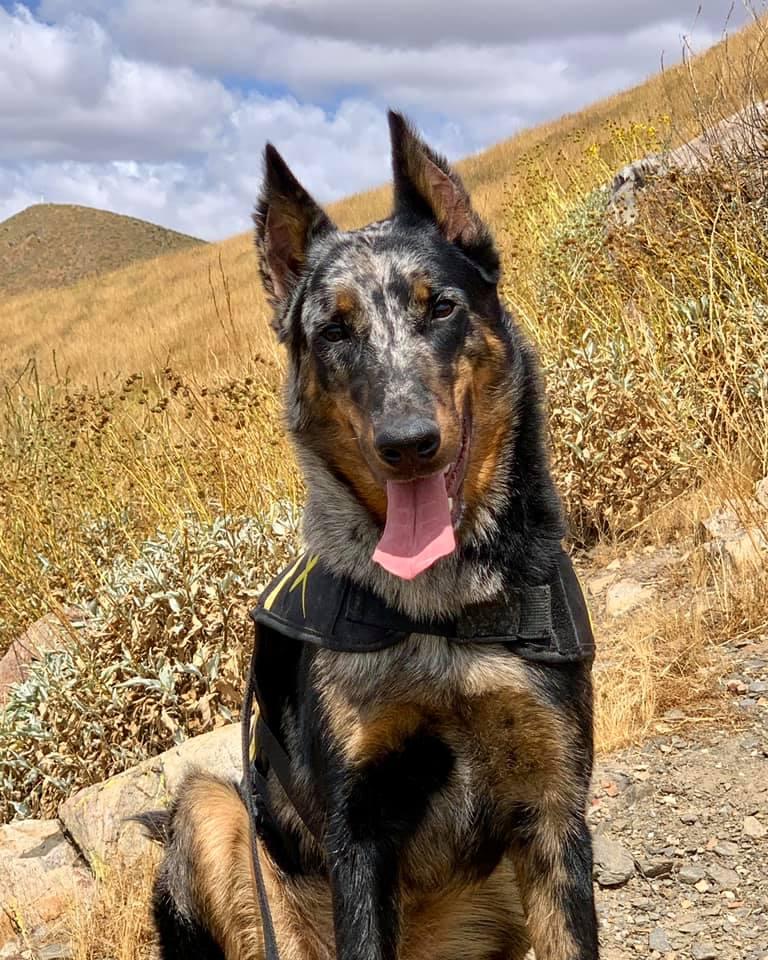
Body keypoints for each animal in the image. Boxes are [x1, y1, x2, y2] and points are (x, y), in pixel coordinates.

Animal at [142, 111, 599, 960]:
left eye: (440, 308)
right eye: (334, 332)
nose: (407, 443)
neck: (440, 613)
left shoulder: (555, 813)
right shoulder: (359, 834)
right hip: (216, 813)